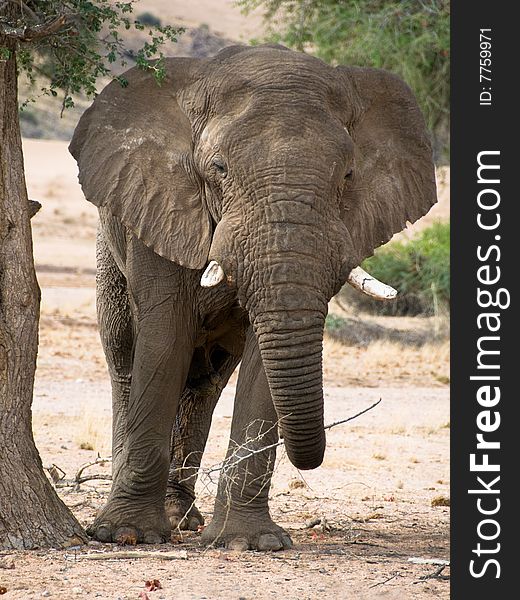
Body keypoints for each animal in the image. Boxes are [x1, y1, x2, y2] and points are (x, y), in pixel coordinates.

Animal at [68, 44, 434, 552]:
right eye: (218, 169)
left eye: (347, 175)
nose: (312, 458)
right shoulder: (161, 205)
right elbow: (164, 337)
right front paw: (125, 535)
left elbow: (264, 355)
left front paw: (248, 543)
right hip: (109, 250)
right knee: (125, 359)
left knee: (206, 383)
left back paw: (184, 519)